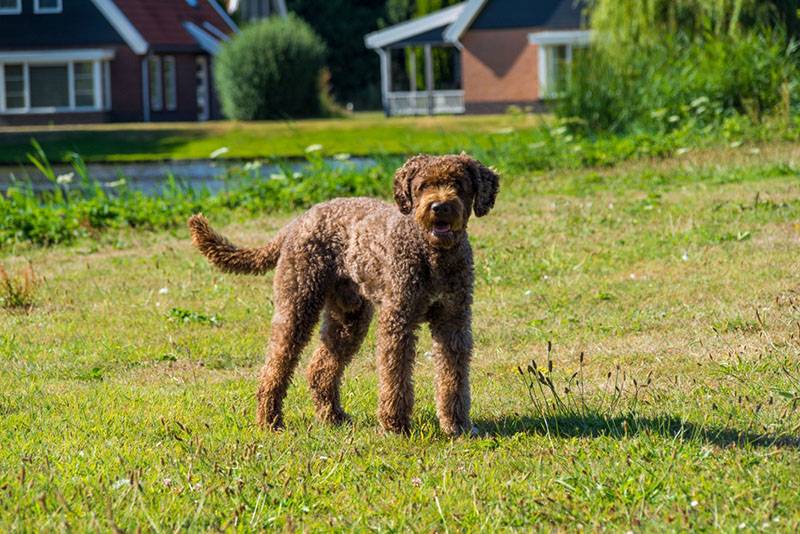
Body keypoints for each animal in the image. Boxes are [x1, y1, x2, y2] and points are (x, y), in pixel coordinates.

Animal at [190, 154, 496, 436]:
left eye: (458, 184)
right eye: (423, 186)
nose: (439, 207)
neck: (432, 255)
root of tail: (297, 221)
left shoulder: (453, 322)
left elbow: (453, 377)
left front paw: (457, 425)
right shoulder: (398, 320)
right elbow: (395, 375)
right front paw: (395, 425)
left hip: (349, 316)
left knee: (320, 368)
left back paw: (332, 417)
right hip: (298, 303)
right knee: (275, 366)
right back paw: (269, 420)